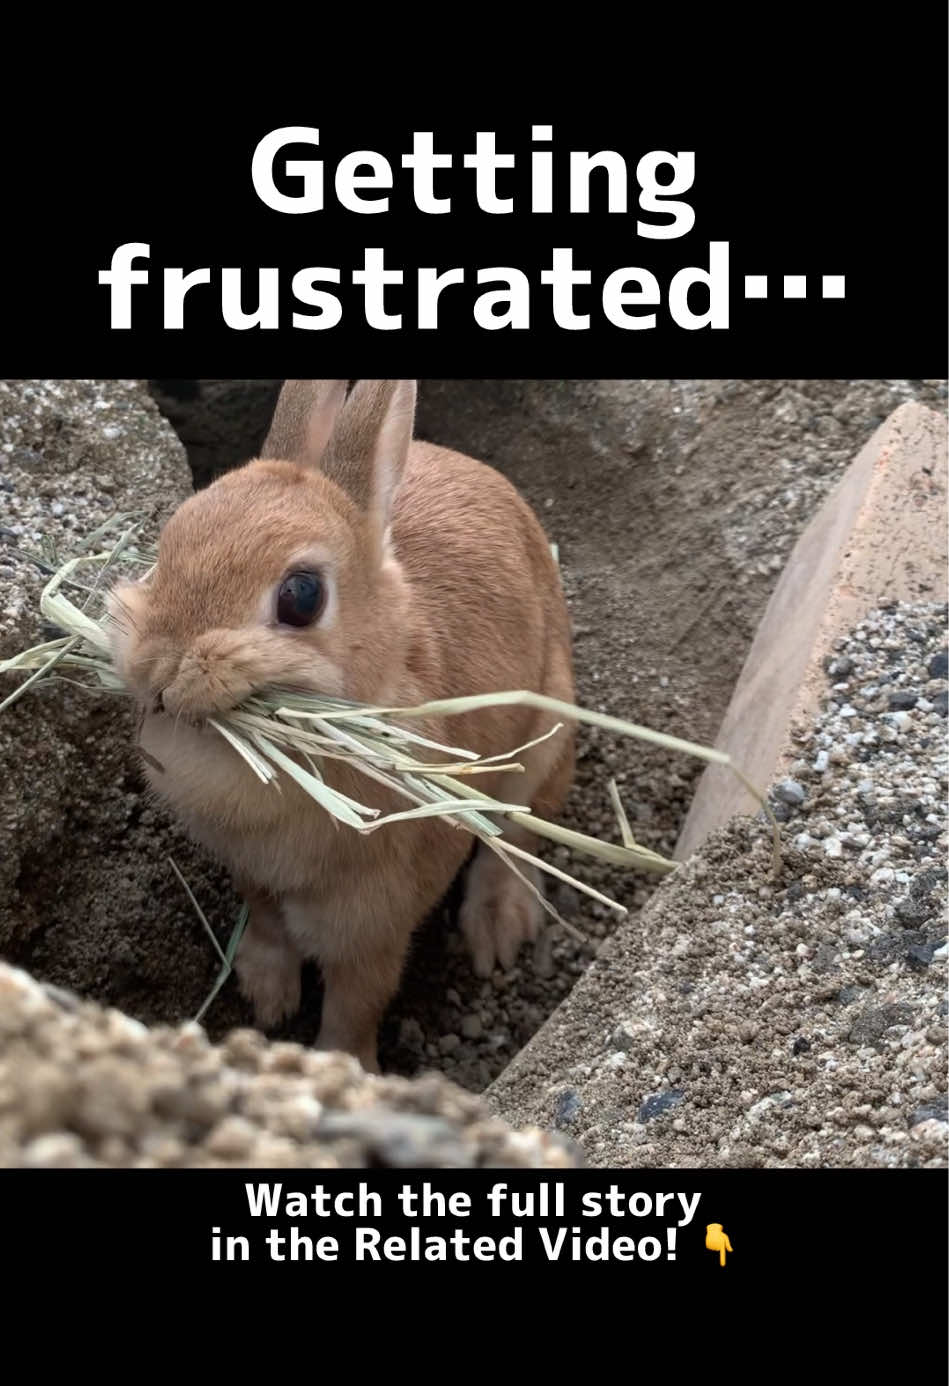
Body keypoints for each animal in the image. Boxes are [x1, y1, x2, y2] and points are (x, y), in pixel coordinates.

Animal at [107, 379, 575, 1072]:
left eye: (301, 595)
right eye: (170, 543)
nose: (156, 672)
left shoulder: (378, 919)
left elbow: (359, 999)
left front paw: (340, 1065)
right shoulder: (255, 876)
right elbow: (268, 926)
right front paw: (266, 996)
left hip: (546, 740)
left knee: (515, 837)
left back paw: (497, 929)